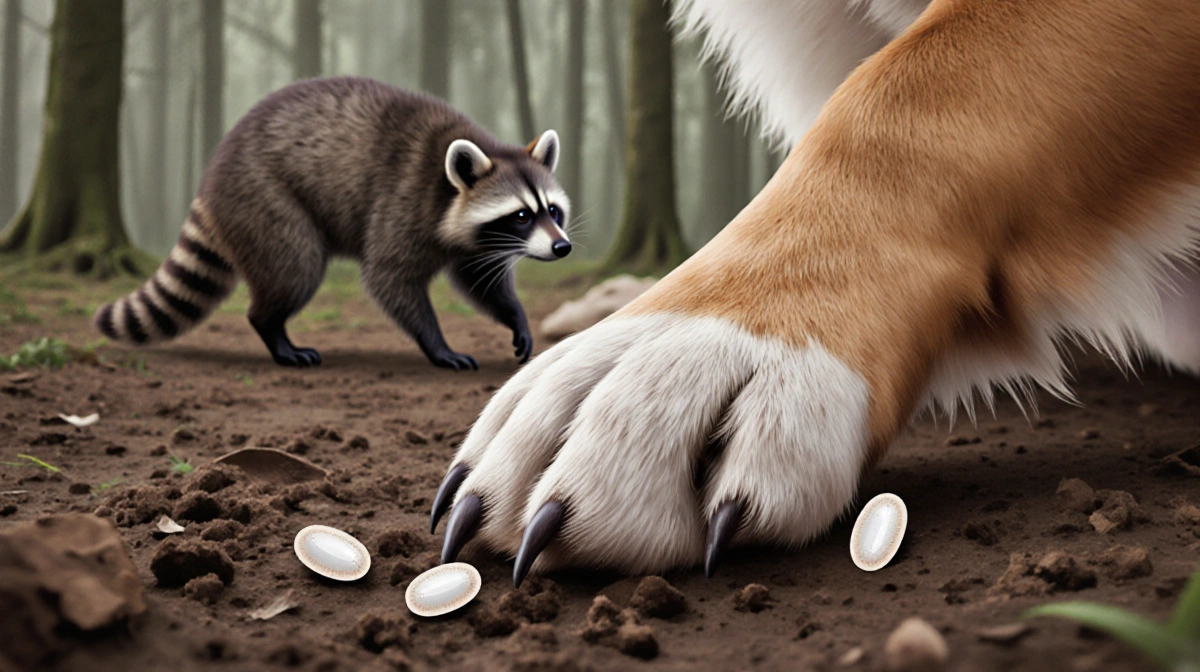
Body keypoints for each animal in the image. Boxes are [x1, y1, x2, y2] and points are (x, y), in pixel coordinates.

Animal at [94, 77, 571, 370]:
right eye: (521, 215)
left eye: (552, 210)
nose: (562, 248)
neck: (450, 186)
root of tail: (213, 172)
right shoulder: (403, 201)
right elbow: (389, 278)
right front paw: (437, 344)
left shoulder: (472, 241)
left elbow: (479, 281)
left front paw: (515, 316)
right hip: (263, 197)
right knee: (295, 267)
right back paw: (271, 328)